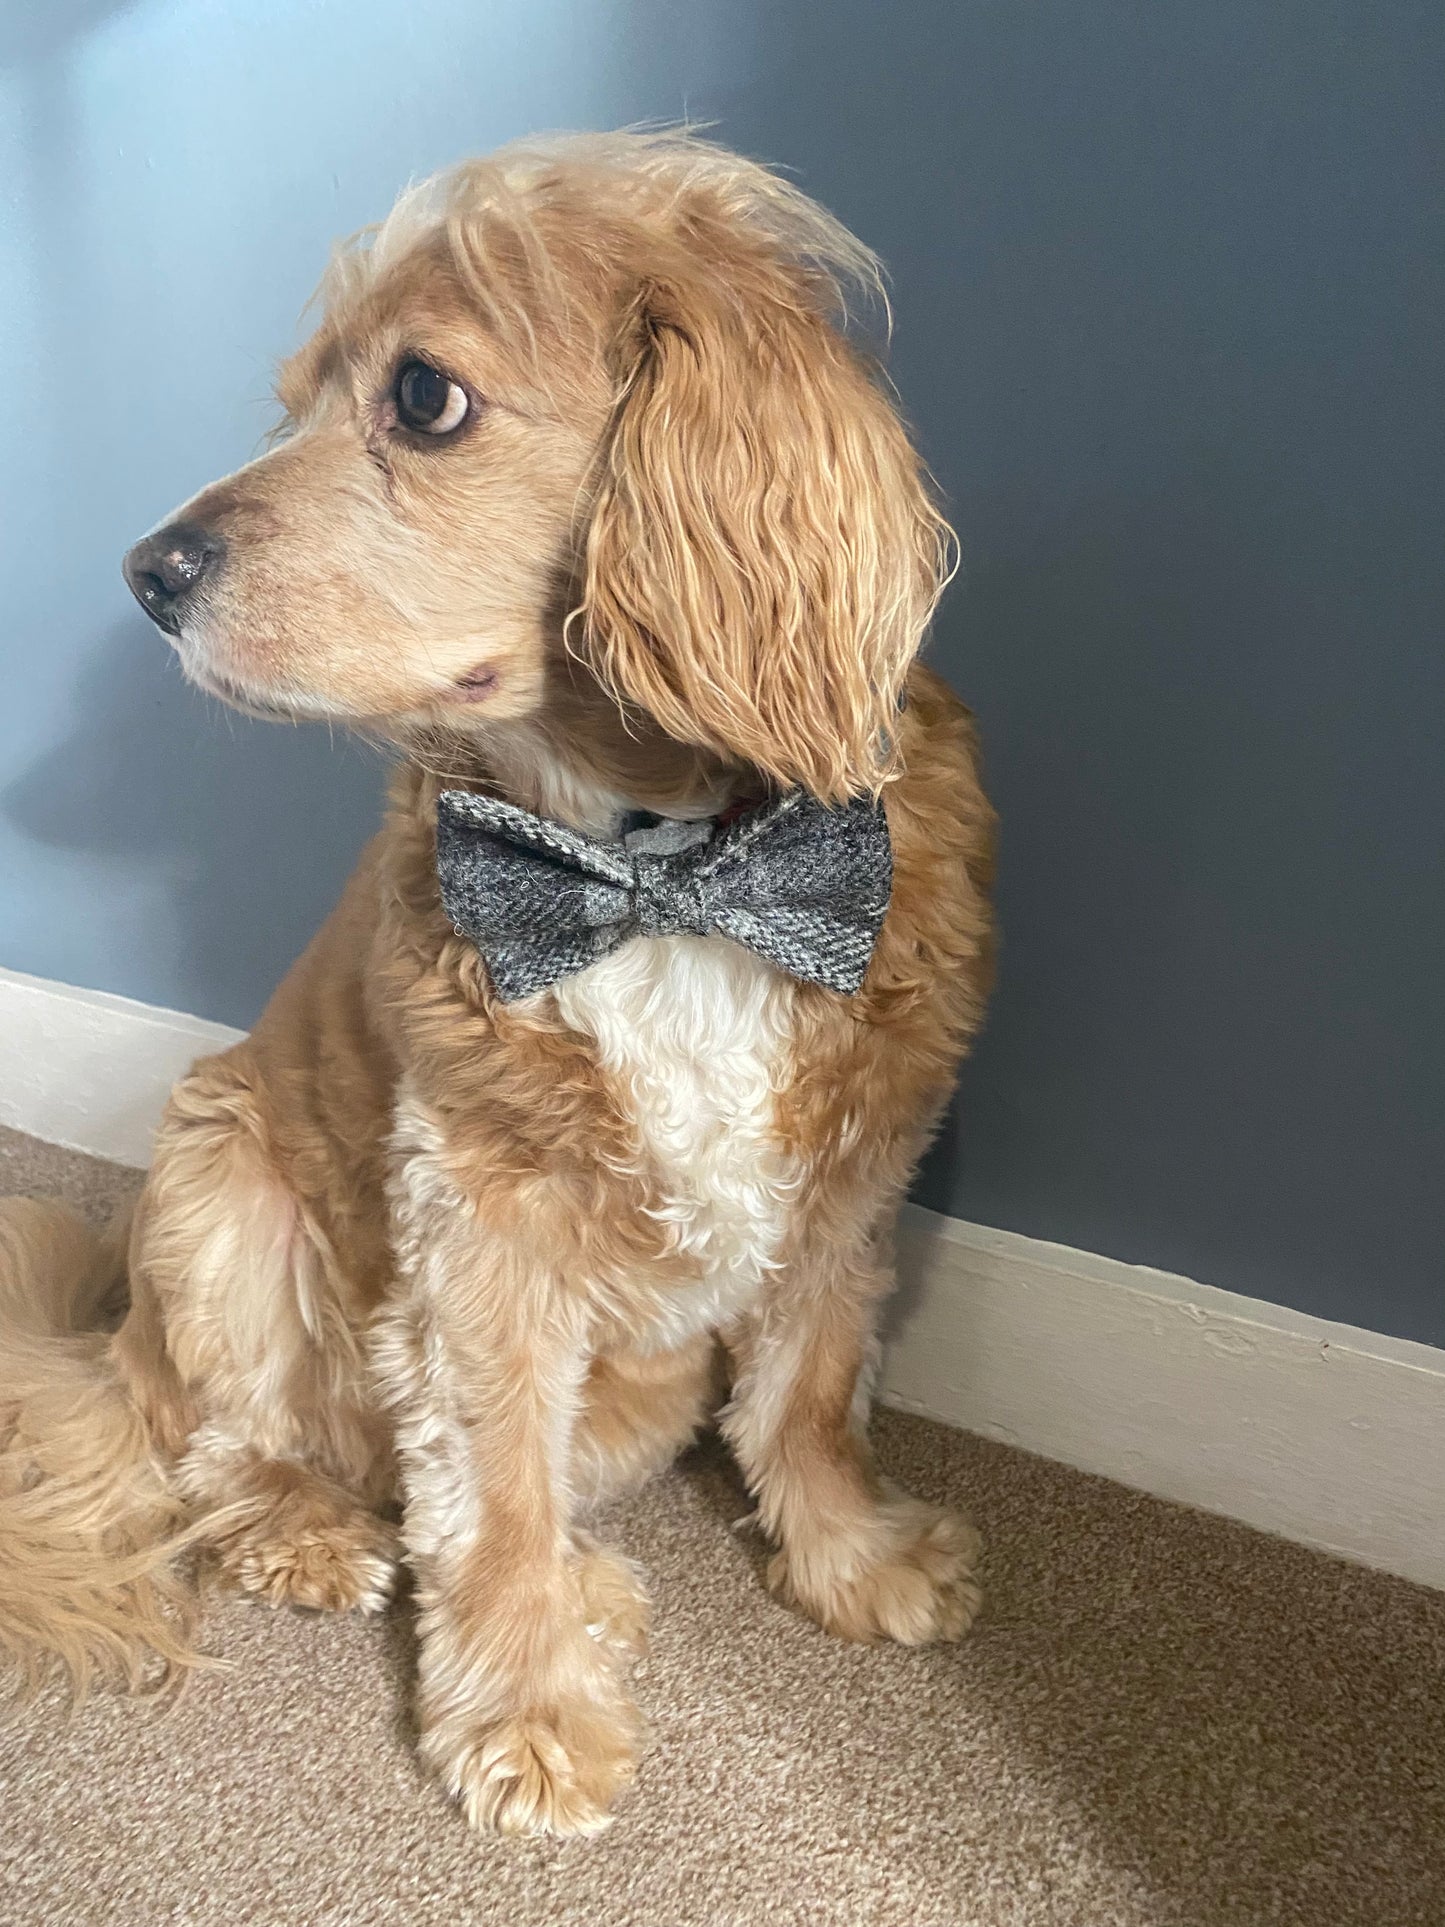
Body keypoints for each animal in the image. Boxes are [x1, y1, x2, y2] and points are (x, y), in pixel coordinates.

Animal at [0, 131, 994, 1834]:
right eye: (295, 396)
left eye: (424, 397)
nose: (144, 570)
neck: (658, 872)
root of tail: (106, 1339)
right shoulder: (480, 1212)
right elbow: (494, 1480)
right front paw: (526, 1706)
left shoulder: (848, 1168)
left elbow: (803, 1390)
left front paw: (849, 1556)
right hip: (217, 1181)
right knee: (227, 1443)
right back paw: (315, 1528)